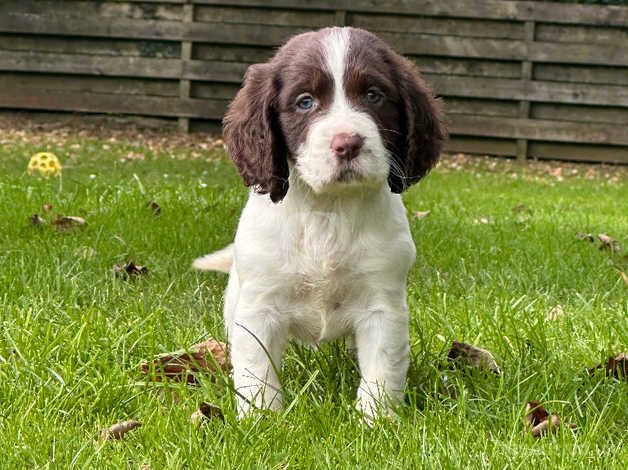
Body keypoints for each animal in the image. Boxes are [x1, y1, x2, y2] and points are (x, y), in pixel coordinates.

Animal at [194, 25, 444, 418]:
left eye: (373, 95)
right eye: (305, 101)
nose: (348, 143)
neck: (328, 209)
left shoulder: (383, 306)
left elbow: (382, 368)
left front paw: (376, 420)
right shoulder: (259, 308)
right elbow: (256, 371)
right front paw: (261, 419)